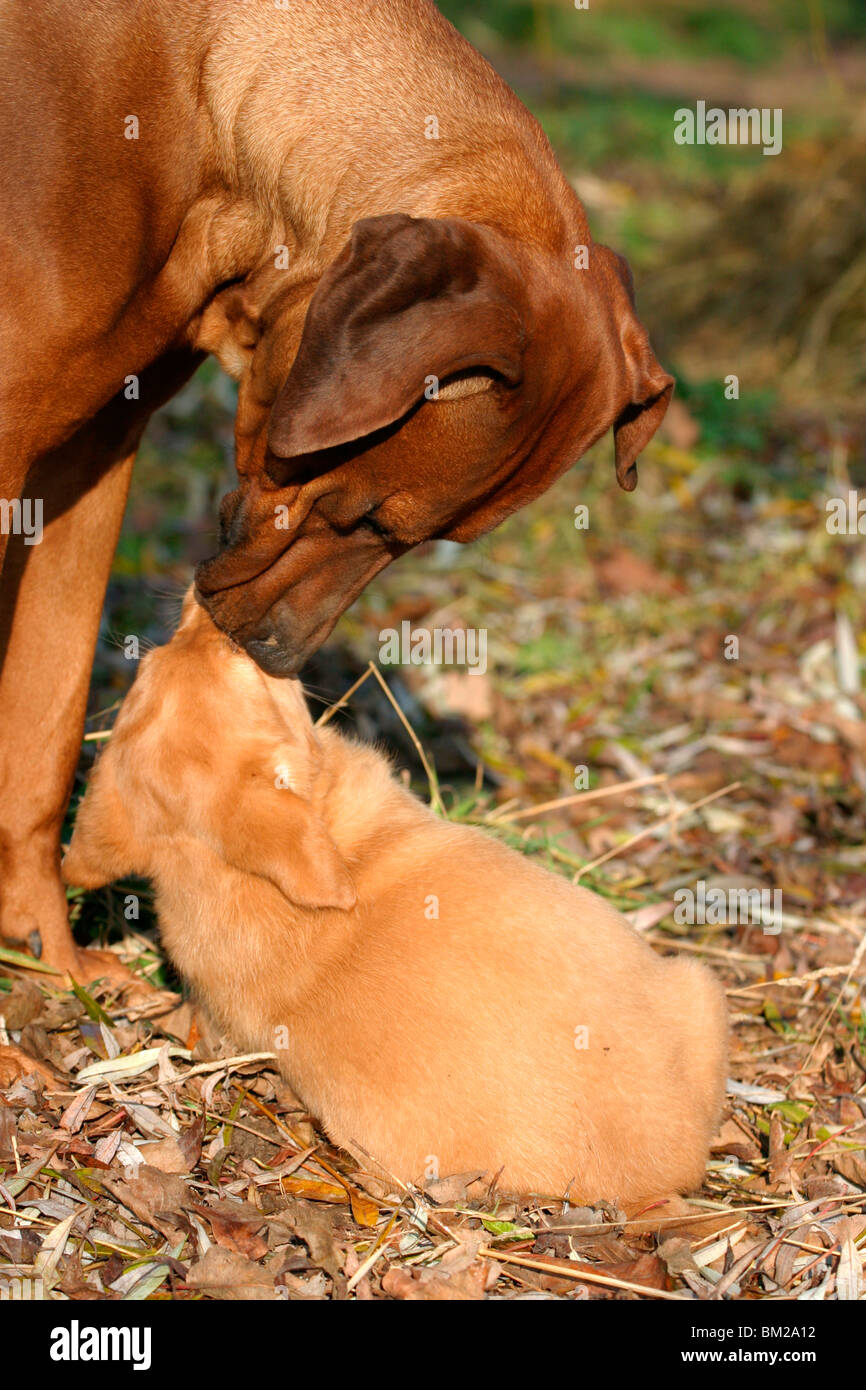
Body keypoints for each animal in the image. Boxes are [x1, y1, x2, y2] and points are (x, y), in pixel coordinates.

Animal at [0, 0, 670, 978]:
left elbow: (42, 731)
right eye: (362, 515)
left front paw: (45, 954)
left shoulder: (93, 450)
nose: (274, 653)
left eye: (414, 541)